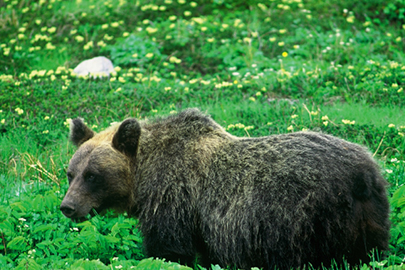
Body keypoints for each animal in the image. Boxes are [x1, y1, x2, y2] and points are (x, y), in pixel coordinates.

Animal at [59, 108, 388, 270]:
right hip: (368, 216)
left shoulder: (173, 200)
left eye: (92, 175)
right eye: (71, 173)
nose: (68, 207)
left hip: (309, 218)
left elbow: (169, 250)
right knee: (369, 251)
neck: (143, 177)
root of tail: (365, 170)